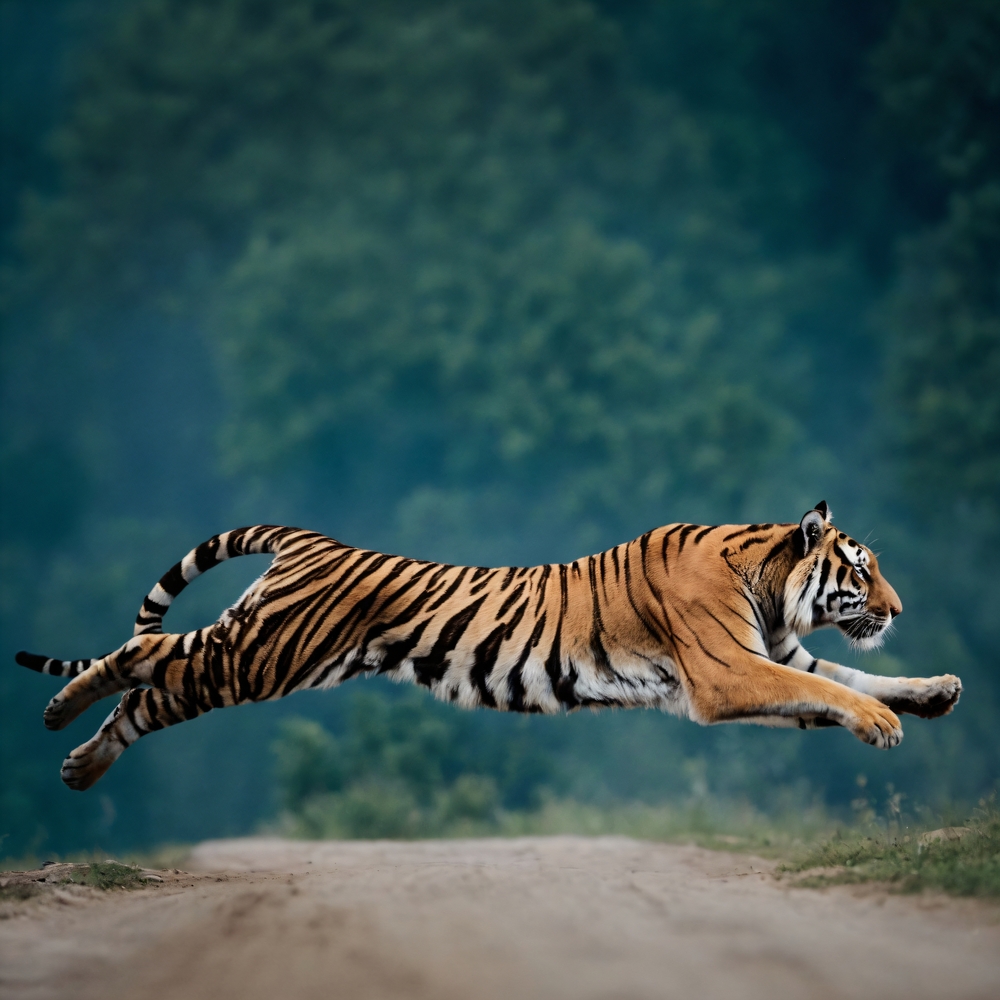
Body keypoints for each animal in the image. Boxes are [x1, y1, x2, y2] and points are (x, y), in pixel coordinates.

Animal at [16, 502, 962, 790]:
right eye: (862, 570)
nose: (899, 605)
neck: (766, 581)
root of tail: (309, 539)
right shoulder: (729, 673)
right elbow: (839, 689)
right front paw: (884, 725)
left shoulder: (778, 660)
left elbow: (850, 676)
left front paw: (934, 691)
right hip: (260, 653)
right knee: (138, 657)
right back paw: (57, 710)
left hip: (258, 660)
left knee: (153, 691)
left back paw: (80, 765)